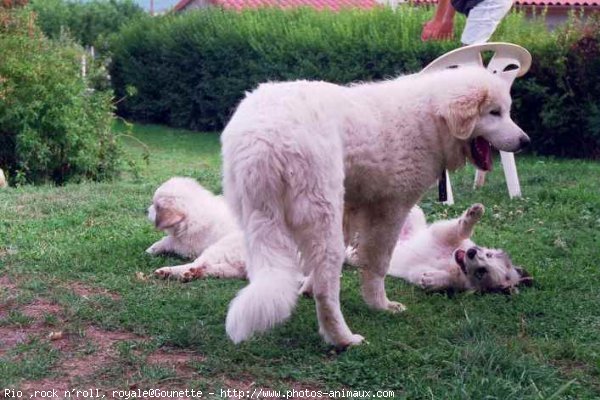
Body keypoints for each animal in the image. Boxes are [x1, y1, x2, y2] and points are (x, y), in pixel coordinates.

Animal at [220, 66, 528, 346]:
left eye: (507, 111)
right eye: (494, 113)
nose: (526, 141)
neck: (430, 119)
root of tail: (263, 135)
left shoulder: (349, 207)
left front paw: (305, 288)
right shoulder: (390, 210)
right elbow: (378, 264)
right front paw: (381, 305)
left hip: (257, 218)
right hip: (322, 215)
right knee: (327, 287)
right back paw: (343, 339)